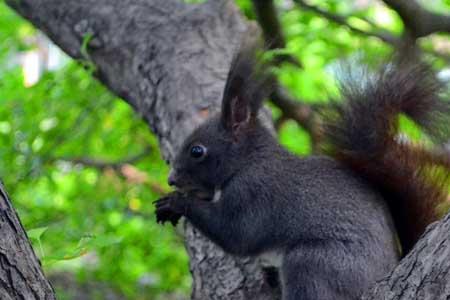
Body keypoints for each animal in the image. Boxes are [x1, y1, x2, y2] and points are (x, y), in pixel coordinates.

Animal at [154, 37, 450, 300]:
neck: (248, 161)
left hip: (314, 263)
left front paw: (176, 202)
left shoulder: (254, 193)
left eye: (197, 151)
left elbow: (235, 234)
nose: (171, 179)